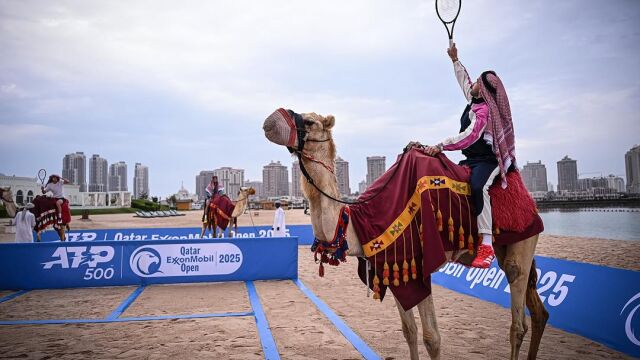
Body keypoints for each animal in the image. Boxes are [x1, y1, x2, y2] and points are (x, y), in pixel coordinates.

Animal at [262, 110, 548, 360]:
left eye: (310, 121)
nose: (268, 122)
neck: (361, 219)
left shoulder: (419, 265)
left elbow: (432, 338)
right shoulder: (395, 268)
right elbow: (409, 331)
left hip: (521, 240)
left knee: (517, 314)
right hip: (506, 245)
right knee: (538, 312)